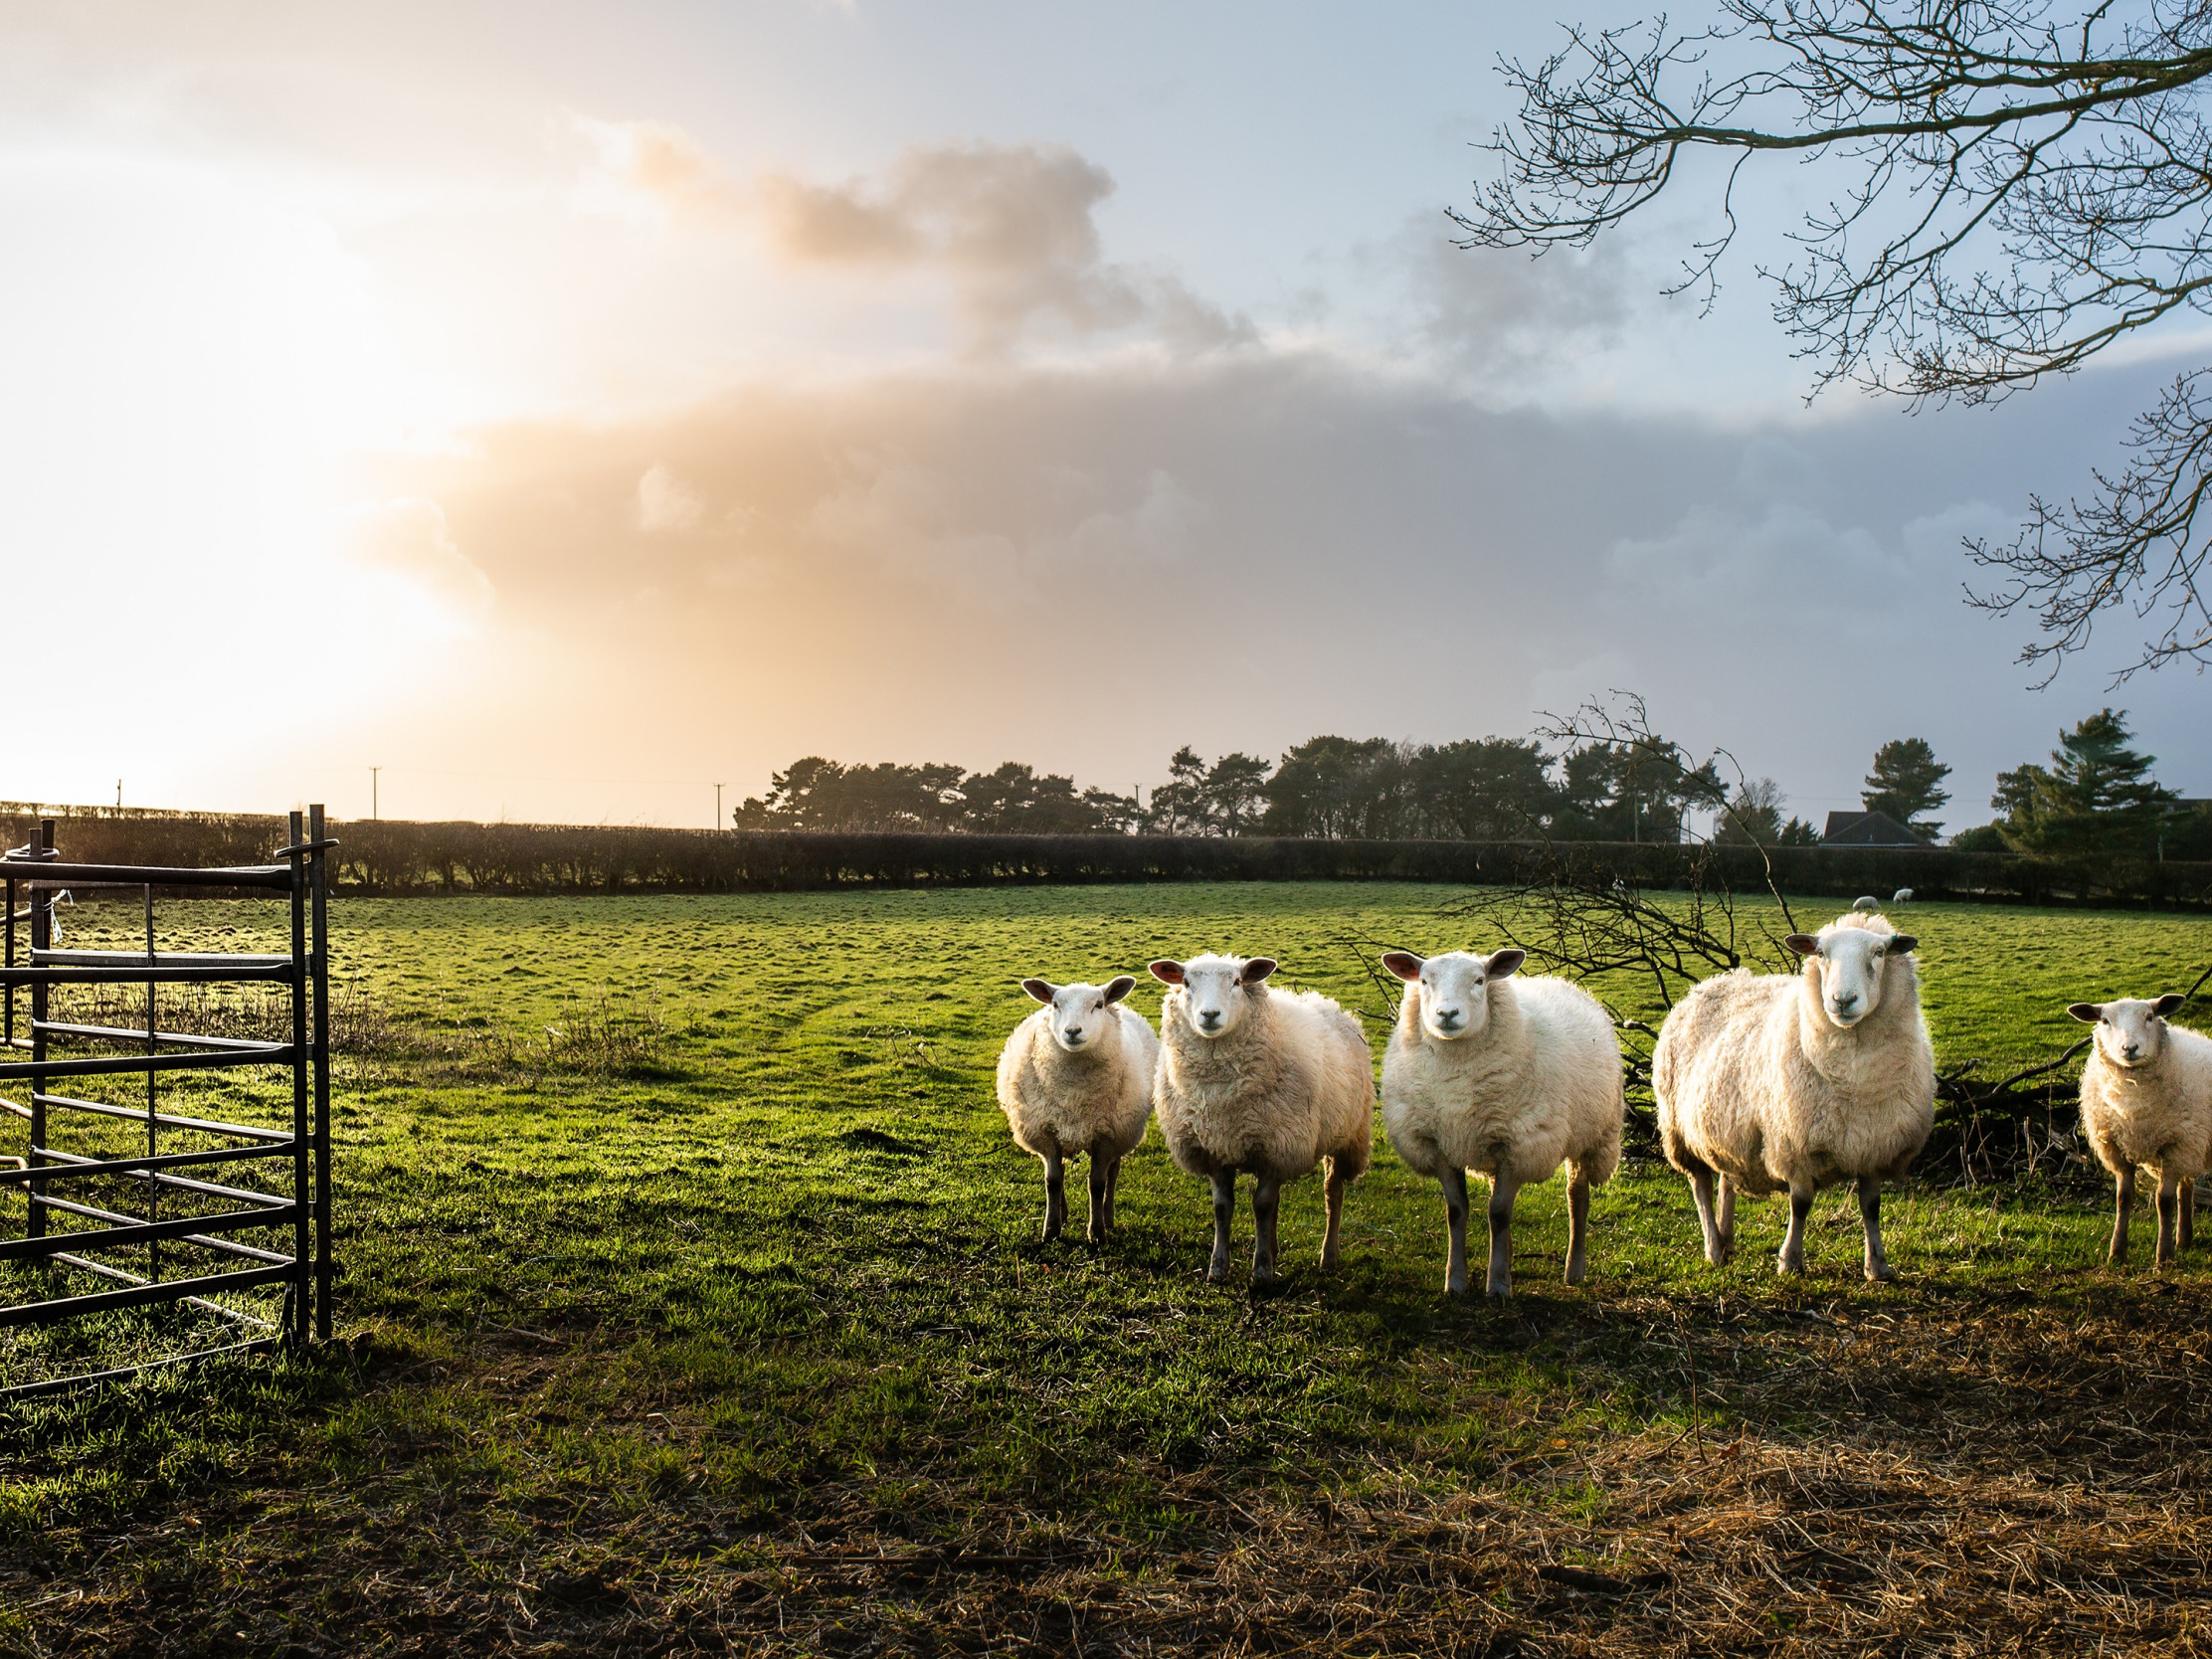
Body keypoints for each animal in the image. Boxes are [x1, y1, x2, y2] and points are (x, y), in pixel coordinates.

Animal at [1000, 973, 1159, 1247]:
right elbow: (1053, 1181)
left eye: (1098, 1004)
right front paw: (1051, 1229)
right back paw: (1063, 1215)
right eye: (1055, 1005)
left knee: (1113, 1172)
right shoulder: (1047, 1132)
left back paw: (1108, 1216)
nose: (1072, 1031)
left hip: (1120, 1131)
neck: (1074, 1091)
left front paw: (1096, 1232)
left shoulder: (1105, 1136)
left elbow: (1097, 1184)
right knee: (1061, 1172)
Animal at [1150, 946, 1371, 1282]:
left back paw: (1328, 1257)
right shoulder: (1216, 1147)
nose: (1210, 1015)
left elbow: (1263, 1206)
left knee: (1333, 1192)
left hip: (1346, 1136)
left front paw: (1262, 1271)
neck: (1220, 1094)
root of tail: (1327, 1003)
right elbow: (1223, 1207)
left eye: (1237, 982)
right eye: (1186, 983)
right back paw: (1275, 1248)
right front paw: (1218, 1268)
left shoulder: (1276, 1147)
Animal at [1380, 955, 1627, 1309]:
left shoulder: (1519, 1145)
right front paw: (1456, 1282)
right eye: (1424, 981)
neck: (1456, 1076)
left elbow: (1497, 1214)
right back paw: (1508, 1257)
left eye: (1480, 980)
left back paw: (1573, 1270)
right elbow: (1457, 1212)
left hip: (1592, 1136)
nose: (1447, 1014)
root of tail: (1563, 983)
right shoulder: (1440, 1144)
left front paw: (1497, 1286)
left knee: (1577, 1197)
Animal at [1654, 911, 1929, 1282]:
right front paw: (1790, 1260)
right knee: (1701, 1186)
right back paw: (1713, 1247)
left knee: (1727, 1180)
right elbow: (1800, 1204)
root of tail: (1708, 983)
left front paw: (1878, 1266)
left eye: (1880, 953)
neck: (1854, 1080)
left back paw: (1727, 1241)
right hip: (1679, 1130)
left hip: (1730, 1127)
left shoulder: (1873, 1146)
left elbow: (1871, 1207)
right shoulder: (1794, 1142)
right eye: (1821, 953)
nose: (1843, 1001)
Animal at [2052, 1000, 2212, 1274]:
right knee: (2187, 1185)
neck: (2132, 1099)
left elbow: (2164, 1201)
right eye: (2104, 1021)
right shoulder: (2117, 1148)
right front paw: (2117, 1253)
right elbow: (2123, 1199)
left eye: (2149, 1017)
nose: (2129, 1048)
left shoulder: (2175, 1146)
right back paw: (2183, 1239)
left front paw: (2164, 1257)